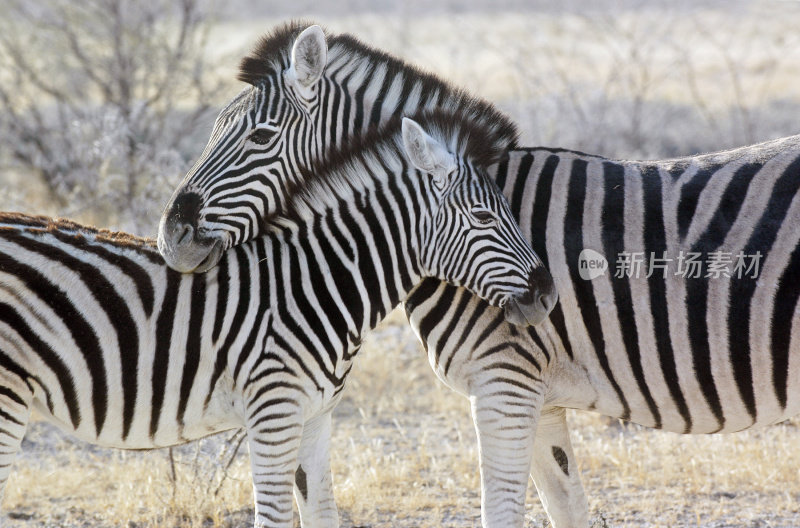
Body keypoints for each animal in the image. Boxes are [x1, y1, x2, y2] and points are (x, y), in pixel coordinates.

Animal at [0, 109, 556, 524]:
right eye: (484, 217)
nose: (548, 294)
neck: (314, 284)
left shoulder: (314, 417)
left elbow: (323, 515)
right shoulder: (273, 412)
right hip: (7, 399)